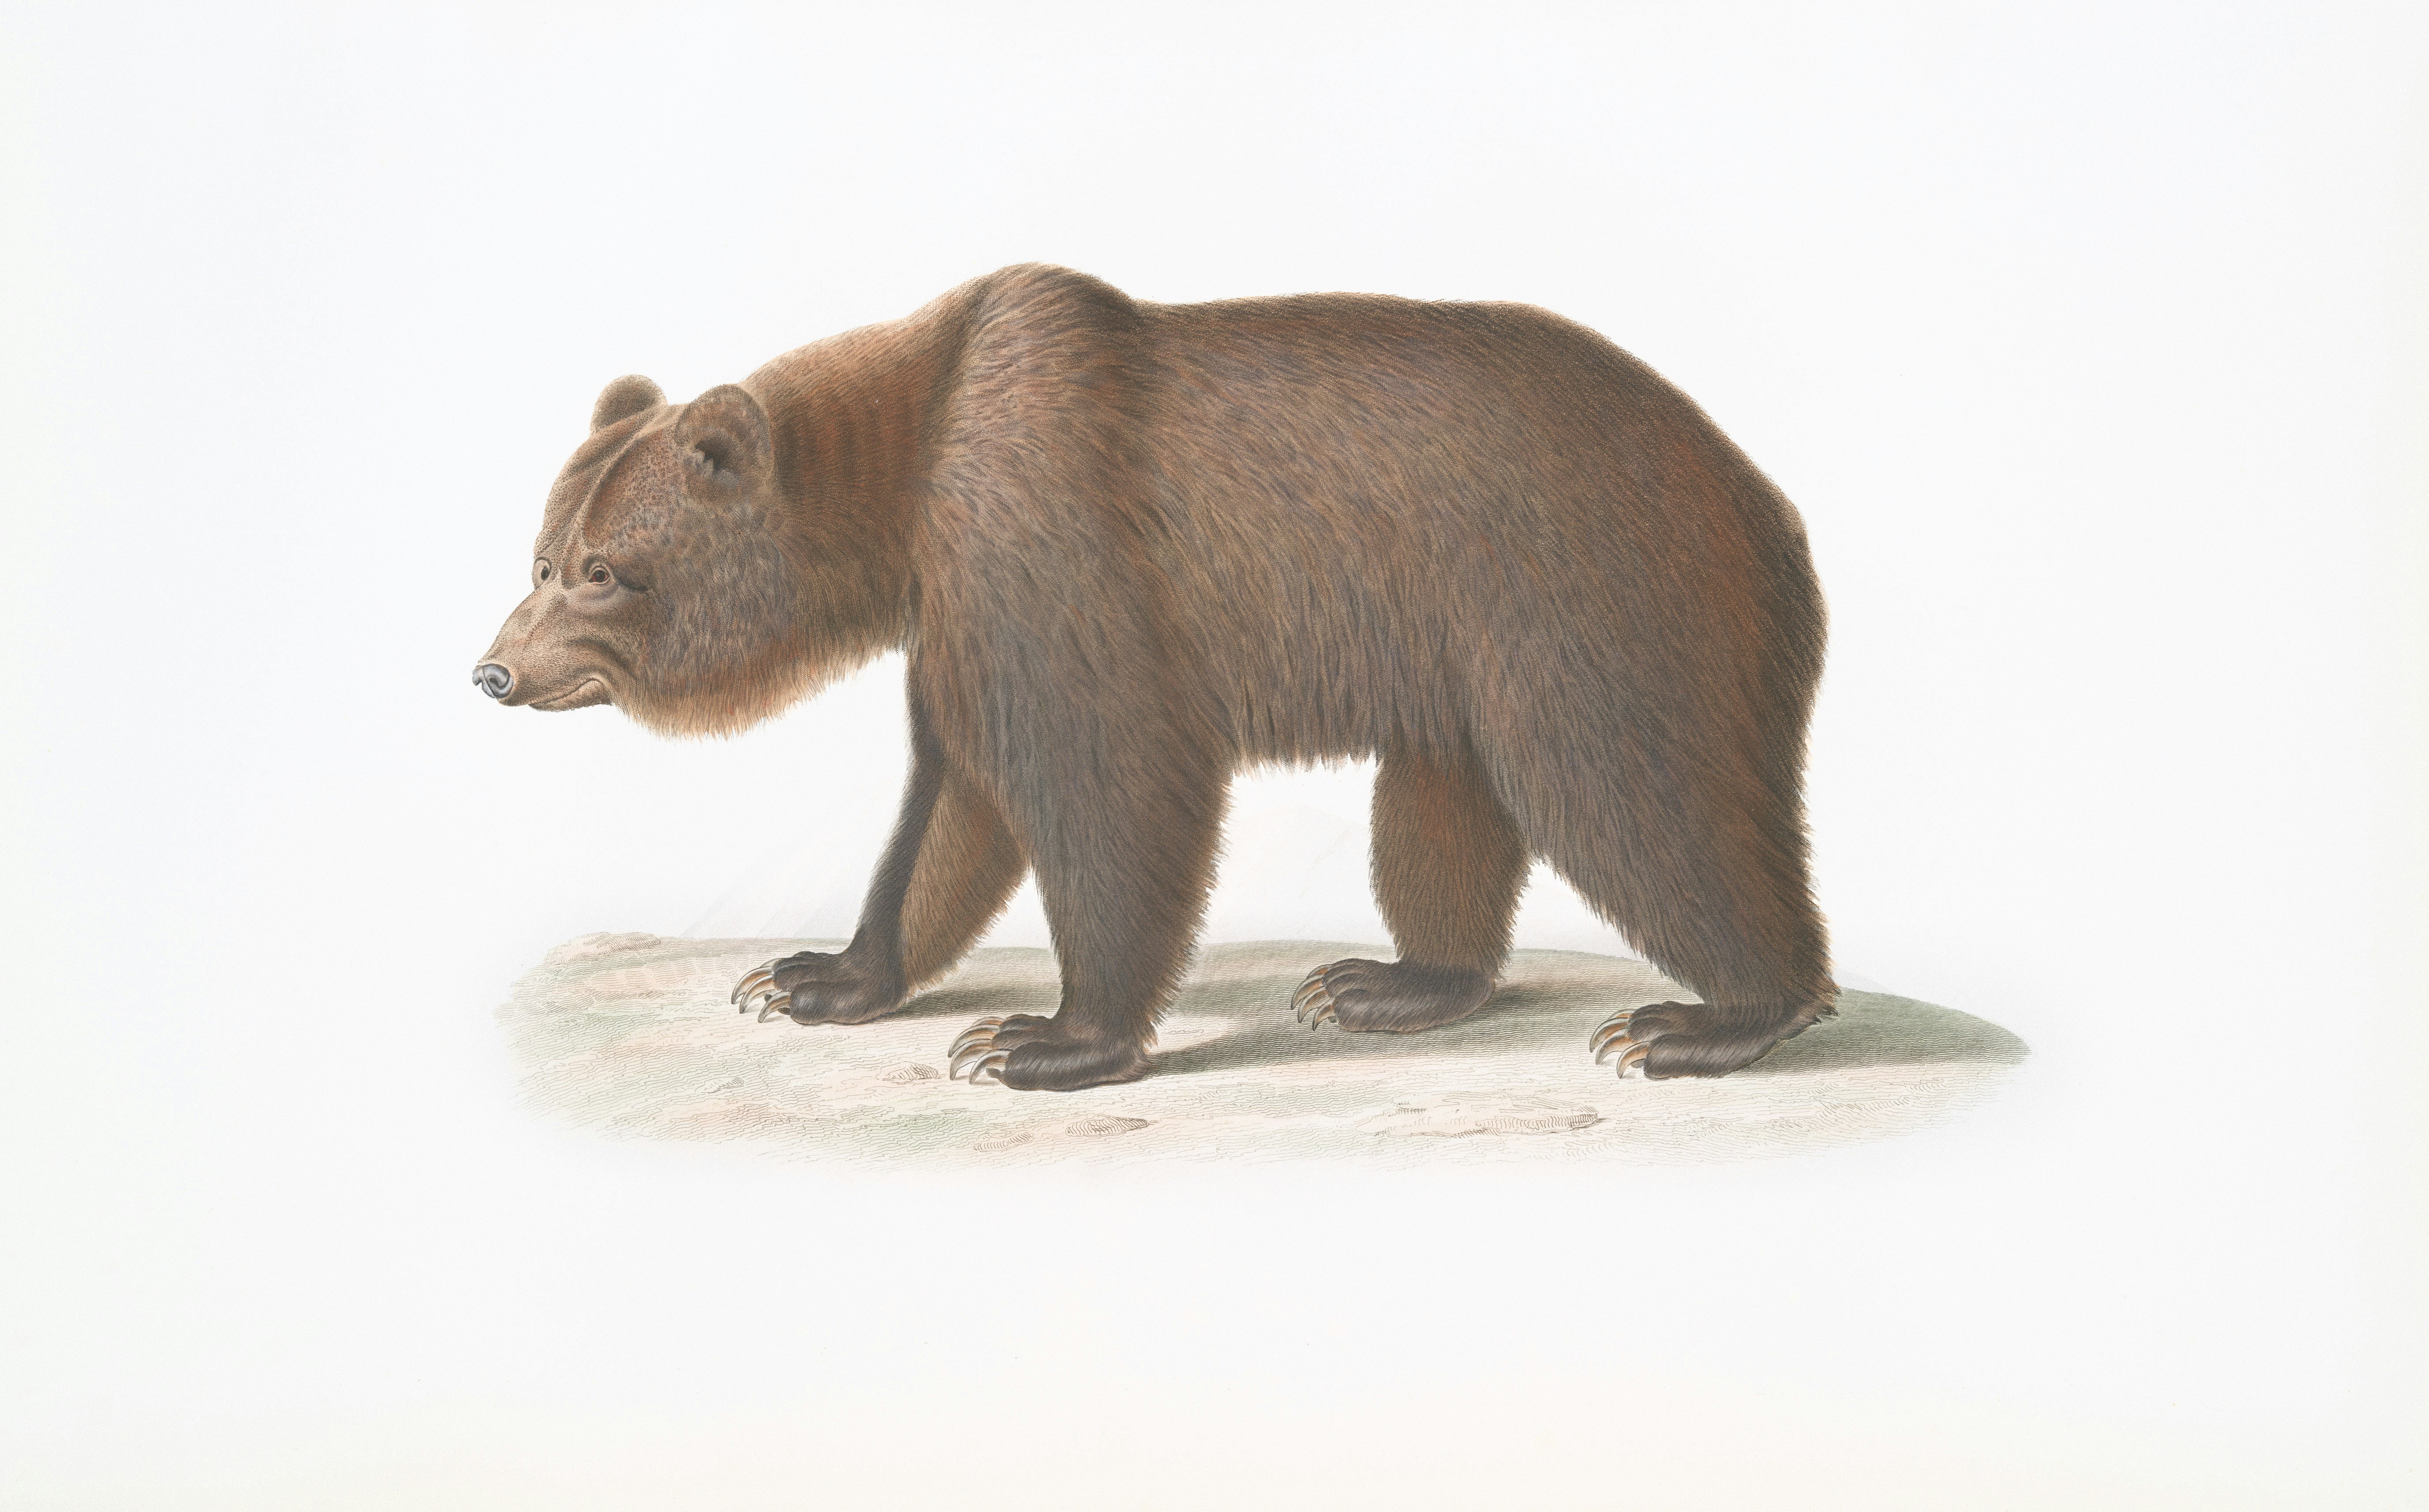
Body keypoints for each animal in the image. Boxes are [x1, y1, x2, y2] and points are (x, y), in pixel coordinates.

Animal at [474, 263, 1835, 1092]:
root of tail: (1765, 502)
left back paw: (1709, 1017)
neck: (907, 483)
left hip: (1589, 601)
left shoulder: (1052, 541)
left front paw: (1039, 1038)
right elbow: (953, 804)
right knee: (1443, 800)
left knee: (1635, 795)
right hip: (1457, 642)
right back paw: (1384, 982)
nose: (493, 668)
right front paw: (814, 974)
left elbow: (1105, 781)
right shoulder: (958, 610)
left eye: (603, 569)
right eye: (540, 554)